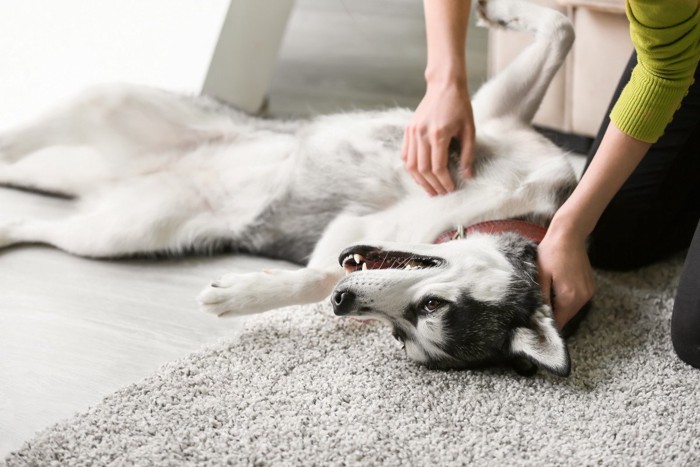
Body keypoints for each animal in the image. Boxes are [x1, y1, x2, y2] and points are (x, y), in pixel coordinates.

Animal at [0, 0, 580, 376]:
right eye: (430, 306)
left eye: (406, 330)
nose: (347, 302)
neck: (495, 208)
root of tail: (120, 174)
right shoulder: (486, 115)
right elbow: (561, 29)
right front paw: (497, 9)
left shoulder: (349, 235)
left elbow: (314, 277)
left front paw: (244, 293)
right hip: (107, 104)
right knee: (26, 141)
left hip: (119, 231)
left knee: (41, 219)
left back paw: (10, 226)